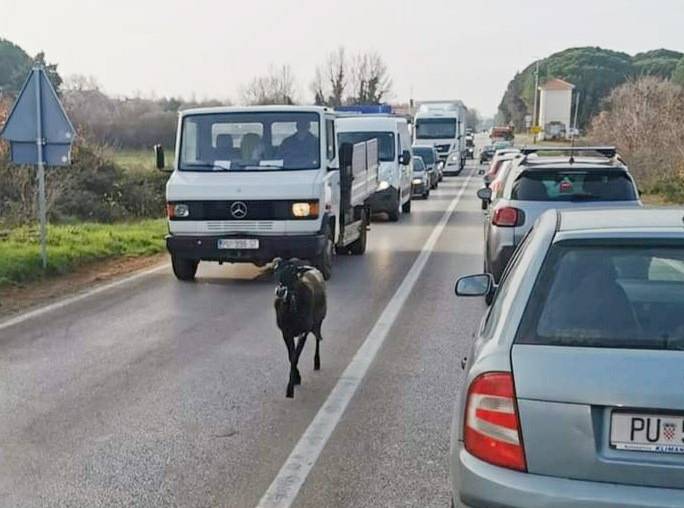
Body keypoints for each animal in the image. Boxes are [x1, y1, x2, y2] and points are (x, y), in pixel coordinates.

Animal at [272, 258, 326, 396]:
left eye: (293, 274)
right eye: (277, 271)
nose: (280, 291)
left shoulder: (303, 332)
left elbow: (295, 356)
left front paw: (290, 389)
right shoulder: (286, 333)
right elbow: (291, 356)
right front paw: (296, 379)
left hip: (318, 322)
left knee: (318, 339)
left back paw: (317, 362)